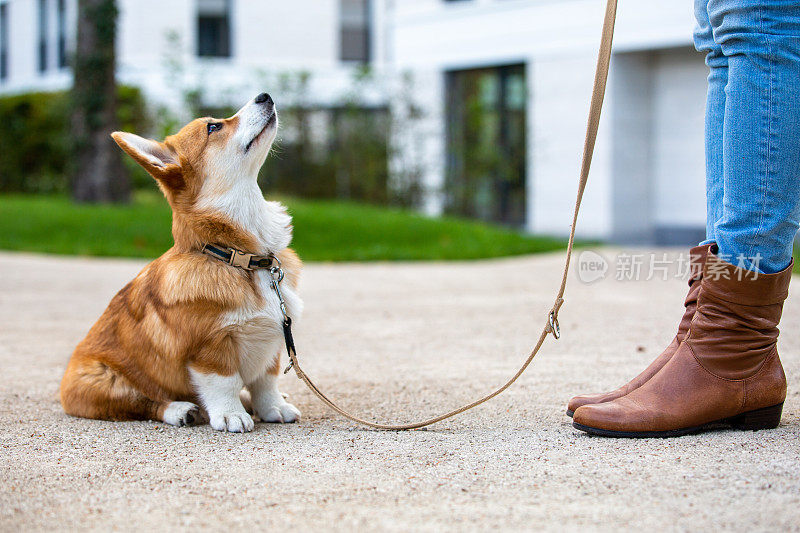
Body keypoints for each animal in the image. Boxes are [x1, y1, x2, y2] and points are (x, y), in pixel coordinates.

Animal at [59, 92, 304, 432]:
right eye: (213, 127)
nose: (264, 95)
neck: (238, 257)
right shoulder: (209, 347)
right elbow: (225, 382)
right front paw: (230, 414)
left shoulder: (272, 342)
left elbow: (265, 383)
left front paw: (273, 407)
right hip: (102, 381)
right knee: (145, 402)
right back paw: (182, 410)